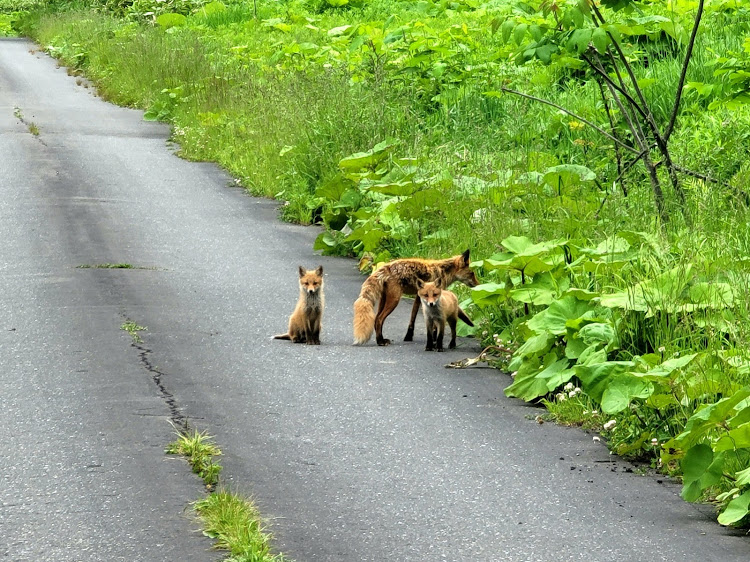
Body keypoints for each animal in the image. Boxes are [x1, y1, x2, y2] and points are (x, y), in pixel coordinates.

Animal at [354, 247, 482, 344]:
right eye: (472, 273)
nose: (479, 285)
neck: (442, 272)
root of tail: (384, 267)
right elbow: (434, 323)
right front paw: (434, 338)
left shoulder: (419, 297)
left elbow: (412, 318)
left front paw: (409, 336)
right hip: (394, 300)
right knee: (379, 319)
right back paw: (380, 341)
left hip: (383, 300)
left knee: (376, 319)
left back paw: (380, 339)